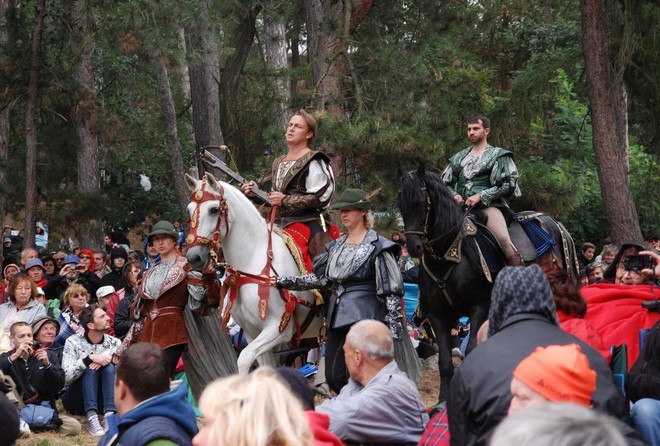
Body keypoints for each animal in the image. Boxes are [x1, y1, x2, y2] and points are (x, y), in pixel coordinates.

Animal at [184, 172, 324, 372]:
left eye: (213, 210)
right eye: (189, 211)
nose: (194, 257)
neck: (252, 264)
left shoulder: (278, 329)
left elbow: (244, 358)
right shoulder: (252, 334)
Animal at [398, 166, 576, 402]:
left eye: (420, 203)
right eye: (400, 205)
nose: (413, 247)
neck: (449, 254)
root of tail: (555, 224)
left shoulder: (479, 307)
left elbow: (472, 350)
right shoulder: (439, 316)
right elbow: (445, 362)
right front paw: (443, 399)